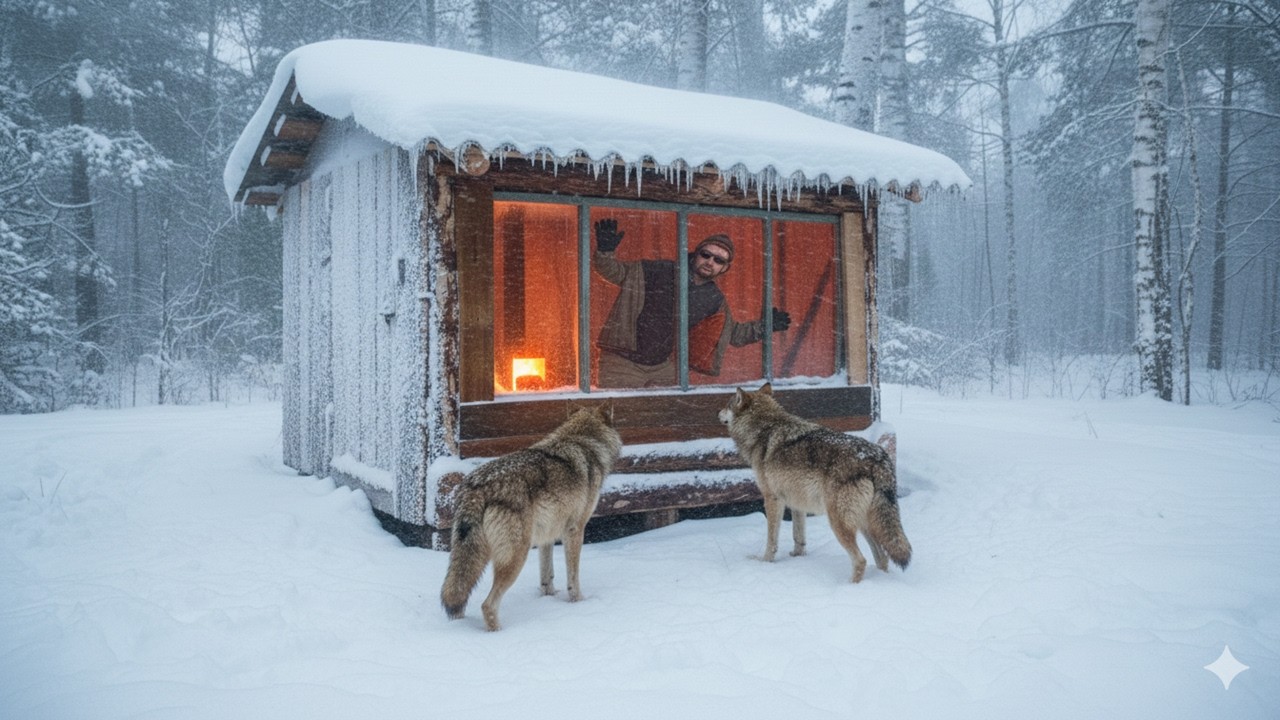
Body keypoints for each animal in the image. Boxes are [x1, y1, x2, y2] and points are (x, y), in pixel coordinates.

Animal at [440, 404, 622, 631]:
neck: (583, 441)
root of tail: (476, 487)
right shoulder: (575, 530)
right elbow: (573, 577)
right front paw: (578, 602)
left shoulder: (547, 536)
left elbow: (547, 576)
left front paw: (549, 597)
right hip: (516, 556)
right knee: (487, 605)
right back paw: (499, 632)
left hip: (472, 557)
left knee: (458, 597)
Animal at [718, 383, 912, 583]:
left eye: (727, 404)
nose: (718, 413)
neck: (764, 428)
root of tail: (878, 458)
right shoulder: (796, 503)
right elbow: (798, 536)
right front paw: (797, 557)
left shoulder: (772, 499)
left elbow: (771, 540)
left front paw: (765, 561)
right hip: (864, 522)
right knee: (882, 558)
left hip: (839, 521)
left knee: (861, 560)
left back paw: (849, 585)